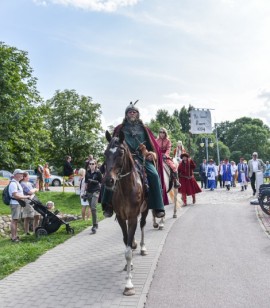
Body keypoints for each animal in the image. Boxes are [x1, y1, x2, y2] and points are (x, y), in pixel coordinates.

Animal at [103, 130, 148, 296]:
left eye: (121, 153)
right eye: (105, 153)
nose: (108, 180)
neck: (126, 188)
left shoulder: (133, 217)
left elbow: (128, 250)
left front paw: (129, 285)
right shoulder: (122, 218)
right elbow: (125, 241)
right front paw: (128, 266)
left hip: (145, 210)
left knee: (142, 226)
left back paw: (142, 247)